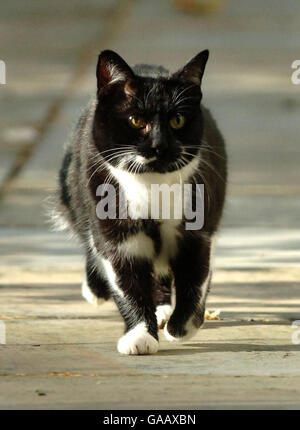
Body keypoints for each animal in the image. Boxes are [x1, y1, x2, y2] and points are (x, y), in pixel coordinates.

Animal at [55, 48, 226, 354]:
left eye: (177, 120)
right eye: (136, 121)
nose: (159, 146)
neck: (150, 186)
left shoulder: (197, 229)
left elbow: (195, 277)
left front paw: (181, 327)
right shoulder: (117, 235)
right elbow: (127, 282)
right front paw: (140, 336)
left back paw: (163, 310)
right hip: (74, 190)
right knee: (88, 238)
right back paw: (96, 290)